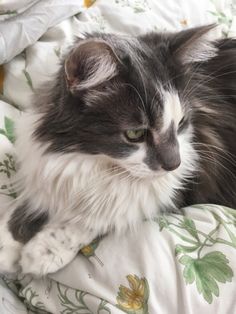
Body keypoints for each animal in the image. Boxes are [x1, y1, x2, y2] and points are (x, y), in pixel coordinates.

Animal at [0, 23, 236, 274]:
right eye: (135, 134)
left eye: (181, 122)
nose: (174, 164)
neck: (95, 162)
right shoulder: (44, 169)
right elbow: (25, 204)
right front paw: (8, 245)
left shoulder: (177, 187)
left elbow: (100, 217)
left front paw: (45, 251)